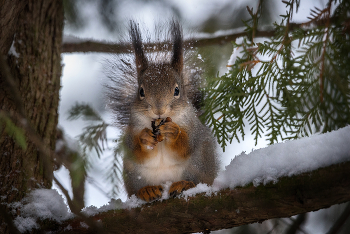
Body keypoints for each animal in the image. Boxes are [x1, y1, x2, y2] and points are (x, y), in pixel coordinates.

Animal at [105, 21, 217, 202]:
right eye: (141, 92)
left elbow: (186, 146)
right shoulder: (131, 130)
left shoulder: (193, 128)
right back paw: (147, 190)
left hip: (201, 163)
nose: (159, 110)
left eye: (177, 90)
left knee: (199, 180)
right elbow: (136, 151)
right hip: (133, 173)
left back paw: (185, 184)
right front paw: (144, 138)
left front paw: (174, 132)